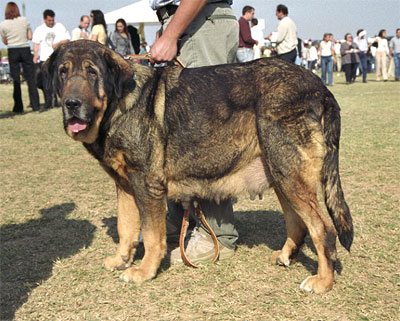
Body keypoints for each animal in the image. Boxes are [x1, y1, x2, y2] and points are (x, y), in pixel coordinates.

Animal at [43, 40, 354, 292]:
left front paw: (144, 271)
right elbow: (126, 228)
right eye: (63, 72)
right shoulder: (126, 186)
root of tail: (321, 88)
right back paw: (285, 256)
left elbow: (152, 236)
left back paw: (323, 282)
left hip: (289, 174)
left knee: (323, 229)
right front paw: (121, 259)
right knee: (298, 223)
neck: (118, 104)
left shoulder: (147, 185)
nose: (72, 104)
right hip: (281, 173)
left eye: (92, 72)